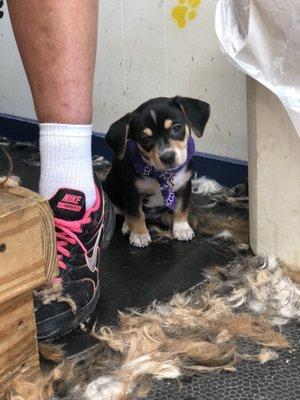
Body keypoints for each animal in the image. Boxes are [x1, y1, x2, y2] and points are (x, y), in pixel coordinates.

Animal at [104, 97, 210, 247]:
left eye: (176, 128)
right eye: (145, 140)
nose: (168, 157)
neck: (161, 175)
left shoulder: (185, 187)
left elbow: (181, 209)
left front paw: (182, 228)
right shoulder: (133, 193)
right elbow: (136, 214)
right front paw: (139, 235)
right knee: (126, 212)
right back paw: (127, 226)